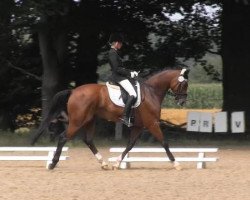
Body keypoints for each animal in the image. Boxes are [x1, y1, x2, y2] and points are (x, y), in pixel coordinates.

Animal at [31, 68, 189, 170]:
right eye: (183, 84)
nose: (182, 102)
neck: (152, 92)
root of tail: (74, 91)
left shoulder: (138, 126)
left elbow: (130, 145)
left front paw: (117, 163)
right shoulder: (152, 124)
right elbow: (164, 142)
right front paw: (176, 163)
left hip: (89, 120)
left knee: (88, 140)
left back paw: (103, 163)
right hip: (77, 121)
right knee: (64, 137)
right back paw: (52, 163)